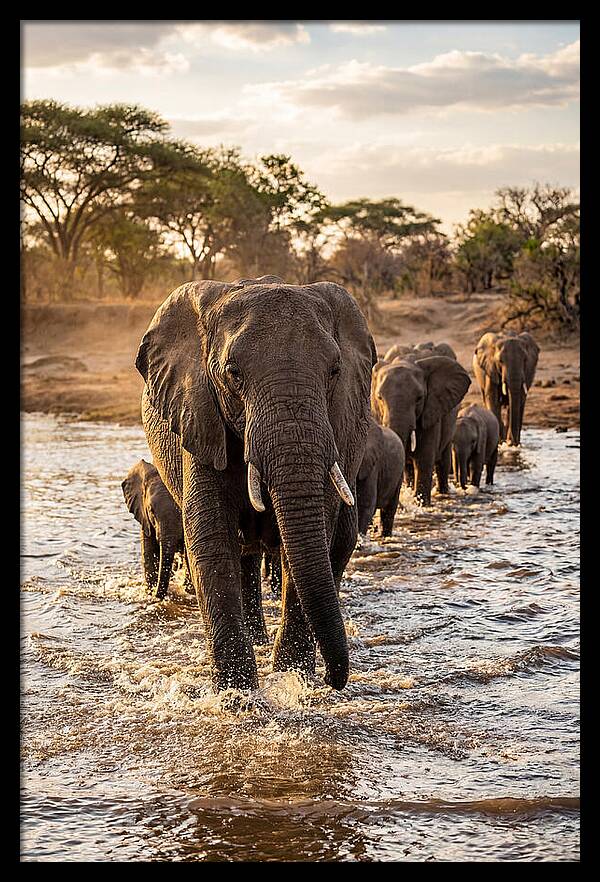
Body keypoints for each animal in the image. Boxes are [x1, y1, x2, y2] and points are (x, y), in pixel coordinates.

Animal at [121, 459, 185, 599]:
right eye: (151, 511)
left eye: (181, 511)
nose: (157, 596)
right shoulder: (144, 518)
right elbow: (149, 554)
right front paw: (150, 592)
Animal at [135, 275, 376, 692]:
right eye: (233, 373)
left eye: (334, 371)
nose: (334, 680)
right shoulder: (199, 414)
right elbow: (211, 539)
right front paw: (239, 696)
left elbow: (314, 535)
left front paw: (293, 682)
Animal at [371, 343, 471, 506]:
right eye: (379, 398)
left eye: (419, 398)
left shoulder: (432, 409)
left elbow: (424, 460)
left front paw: (422, 505)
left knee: (443, 460)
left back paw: (443, 493)